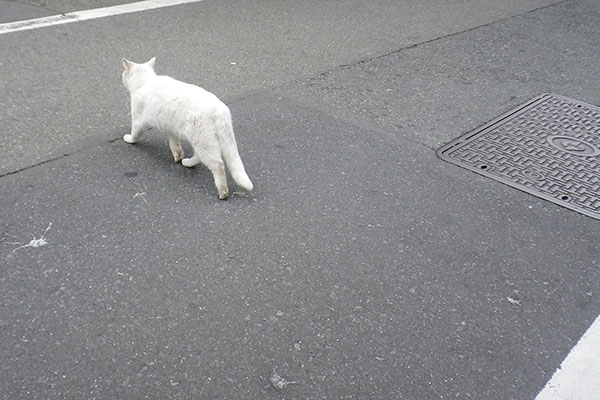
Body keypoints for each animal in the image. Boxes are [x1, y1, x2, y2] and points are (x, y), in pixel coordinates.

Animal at [122, 57, 253, 199]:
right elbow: (175, 145)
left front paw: (129, 139)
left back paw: (223, 192)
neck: (145, 81)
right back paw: (187, 163)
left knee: (218, 165)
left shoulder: (138, 121)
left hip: (203, 142)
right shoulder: (172, 130)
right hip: (201, 142)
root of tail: (219, 109)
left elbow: (134, 135)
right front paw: (178, 156)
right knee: (200, 157)